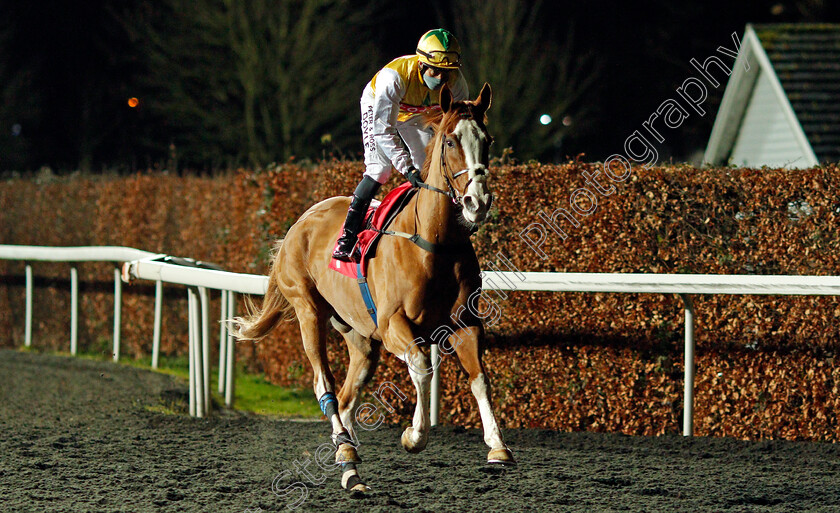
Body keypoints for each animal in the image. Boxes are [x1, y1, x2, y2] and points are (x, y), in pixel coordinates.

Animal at [233, 84, 516, 492]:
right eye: (450, 140)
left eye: (487, 140)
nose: (477, 202)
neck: (435, 243)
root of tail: (299, 223)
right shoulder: (393, 323)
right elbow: (421, 367)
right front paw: (414, 436)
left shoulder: (465, 323)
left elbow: (480, 378)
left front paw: (498, 447)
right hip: (308, 310)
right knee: (325, 384)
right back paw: (346, 452)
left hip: (360, 337)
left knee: (347, 396)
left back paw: (348, 465)